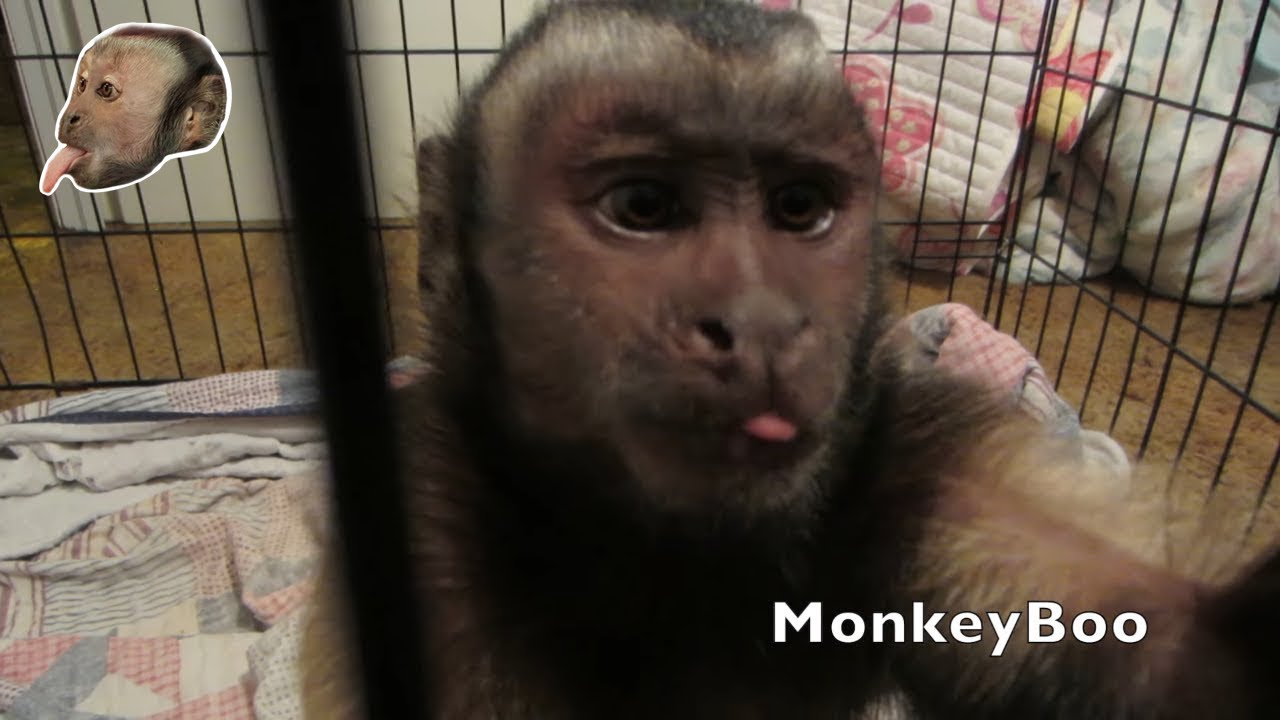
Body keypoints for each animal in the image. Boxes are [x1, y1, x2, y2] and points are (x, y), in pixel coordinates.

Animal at [299, 1, 1280, 718]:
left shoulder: (920, 456)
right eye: (644, 206)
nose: (763, 321)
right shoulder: (423, 523)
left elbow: (1184, 655)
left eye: (798, 207)